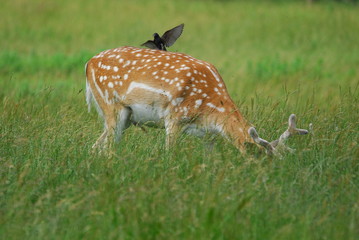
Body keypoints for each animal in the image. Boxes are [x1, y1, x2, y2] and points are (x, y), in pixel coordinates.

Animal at [85, 46, 310, 157]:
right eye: (260, 158)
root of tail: (89, 63)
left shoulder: (208, 134)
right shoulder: (174, 117)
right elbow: (169, 153)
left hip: (125, 117)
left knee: (96, 146)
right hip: (111, 105)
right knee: (109, 147)